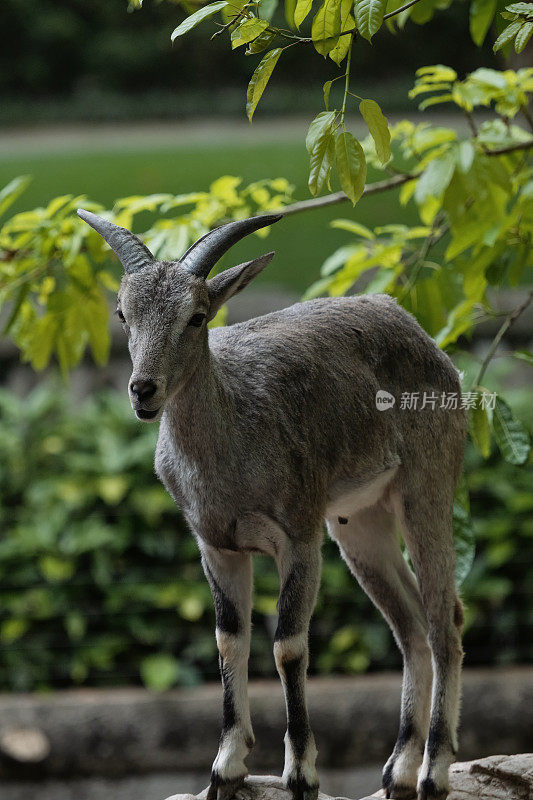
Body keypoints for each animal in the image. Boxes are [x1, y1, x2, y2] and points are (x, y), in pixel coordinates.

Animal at [78, 209, 466, 800]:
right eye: (124, 314)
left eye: (197, 316)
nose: (143, 390)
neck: (233, 446)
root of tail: (428, 340)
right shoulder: (216, 546)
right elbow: (228, 640)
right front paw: (226, 767)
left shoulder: (298, 536)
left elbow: (288, 645)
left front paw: (300, 773)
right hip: (359, 522)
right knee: (410, 625)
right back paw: (397, 769)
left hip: (427, 486)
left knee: (446, 620)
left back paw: (434, 773)